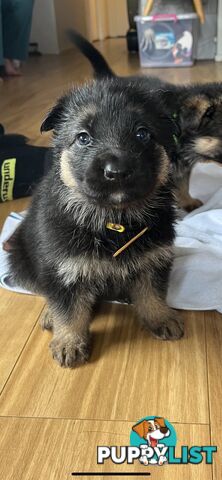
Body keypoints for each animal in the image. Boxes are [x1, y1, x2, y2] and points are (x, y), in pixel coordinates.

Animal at [8, 31, 183, 368]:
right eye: (83, 137)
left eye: (143, 134)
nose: (116, 172)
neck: (113, 219)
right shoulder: (63, 269)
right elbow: (69, 309)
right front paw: (69, 341)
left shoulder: (155, 258)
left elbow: (152, 292)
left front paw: (160, 318)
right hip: (21, 257)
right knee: (43, 290)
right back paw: (48, 315)